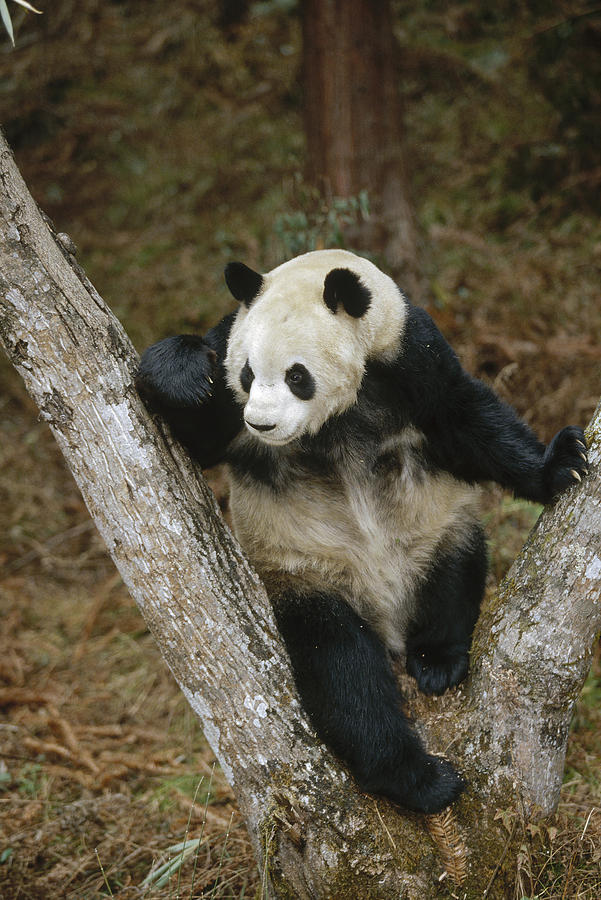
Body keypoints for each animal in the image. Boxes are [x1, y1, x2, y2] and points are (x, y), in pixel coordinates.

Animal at [136, 248, 584, 816]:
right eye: (247, 373)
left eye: (297, 376)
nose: (260, 423)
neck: (337, 415)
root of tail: (387, 620)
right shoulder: (230, 370)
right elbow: (197, 436)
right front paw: (182, 371)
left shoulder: (410, 357)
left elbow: (466, 420)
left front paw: (560, 466)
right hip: (307, 577)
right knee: (343, 668)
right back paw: (417, 777)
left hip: (432, 532)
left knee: (453, 571)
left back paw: (436, 661)